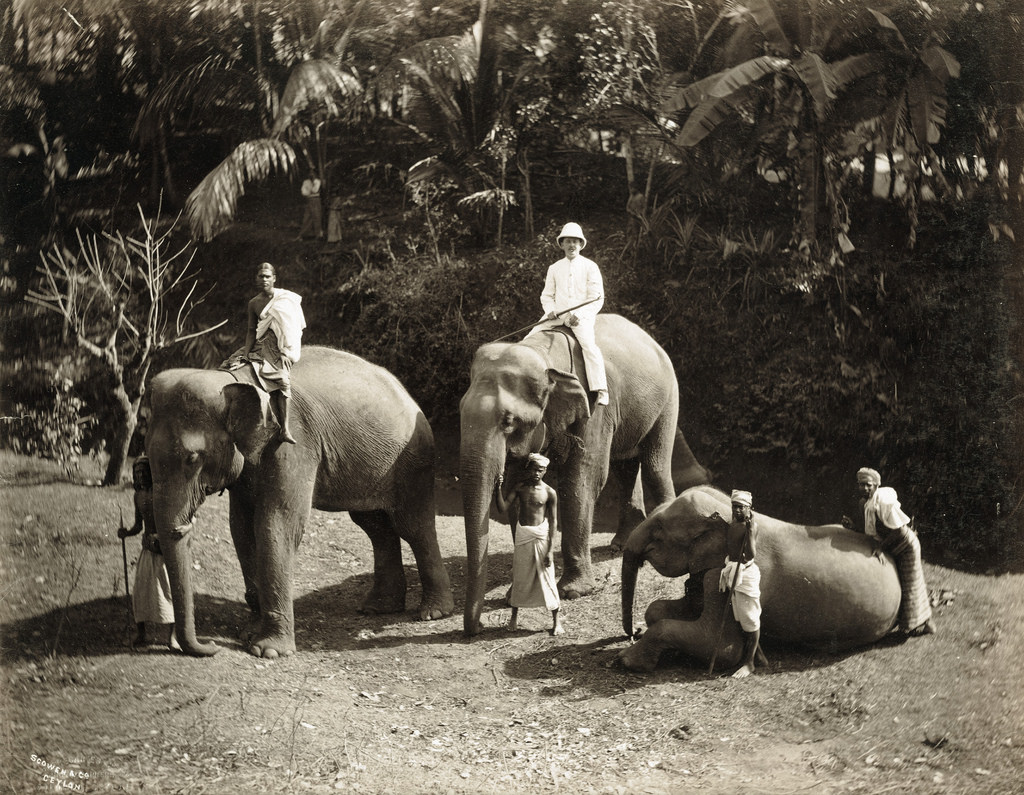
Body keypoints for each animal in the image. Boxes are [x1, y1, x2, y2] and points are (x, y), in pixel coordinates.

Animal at [144, 344, 452, 659]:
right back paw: (377, 608)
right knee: (374, 526)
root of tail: (409, 395)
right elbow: (241, 529)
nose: (212, 647)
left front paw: (267, 650)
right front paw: (248, 634)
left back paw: (433, 612)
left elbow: (276, 524)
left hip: (413, 460)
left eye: (192, 459)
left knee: (412, 526)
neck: (232, 379)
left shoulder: (293, 442)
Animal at [460, 313, 708, 635]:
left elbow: (584, 476)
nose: (476, 627)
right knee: (625, 467)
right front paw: (513, 592)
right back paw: (622, 543)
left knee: (654, 464)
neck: (544, 355)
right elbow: (520, 483)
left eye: (508, 421)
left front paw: (573, 592)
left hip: (667, 398)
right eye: (460, 412)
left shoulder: (596, 403)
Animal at [614, 483, 897, 672]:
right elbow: (658, 610)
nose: (633, 632)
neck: (724, 510)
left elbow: (722, 648)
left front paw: (625, 659)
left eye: (658, 531)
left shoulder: (726, 579)